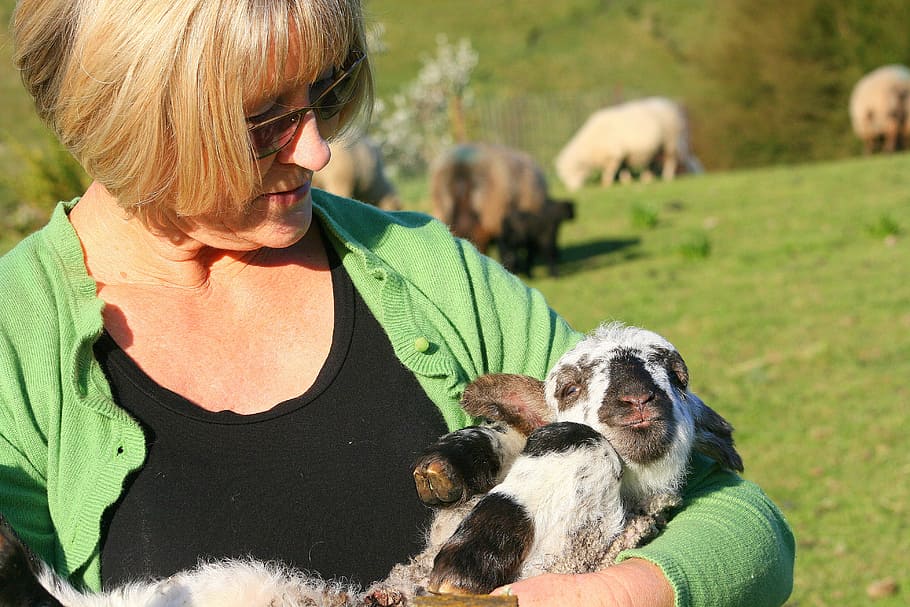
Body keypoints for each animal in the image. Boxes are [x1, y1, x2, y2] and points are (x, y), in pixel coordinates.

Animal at [0, 323, 742, 606]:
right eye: (568, 381)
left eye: (677, 374)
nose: (638, 398)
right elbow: (515, 440)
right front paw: (450, 466)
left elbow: (572, 447)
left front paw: (465, 557)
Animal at [554, 97, 697, 191]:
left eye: (571, 170)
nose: (572, 190)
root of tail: (670, 104)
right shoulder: (622, 154)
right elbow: (624, 168)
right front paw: (626, 181)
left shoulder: (614, 154)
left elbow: (611, 170)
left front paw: (606, 183)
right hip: (656, 146)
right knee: (651, 162)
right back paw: (647, 178)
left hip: (671, 140)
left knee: (670, 159)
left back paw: (667, 177)